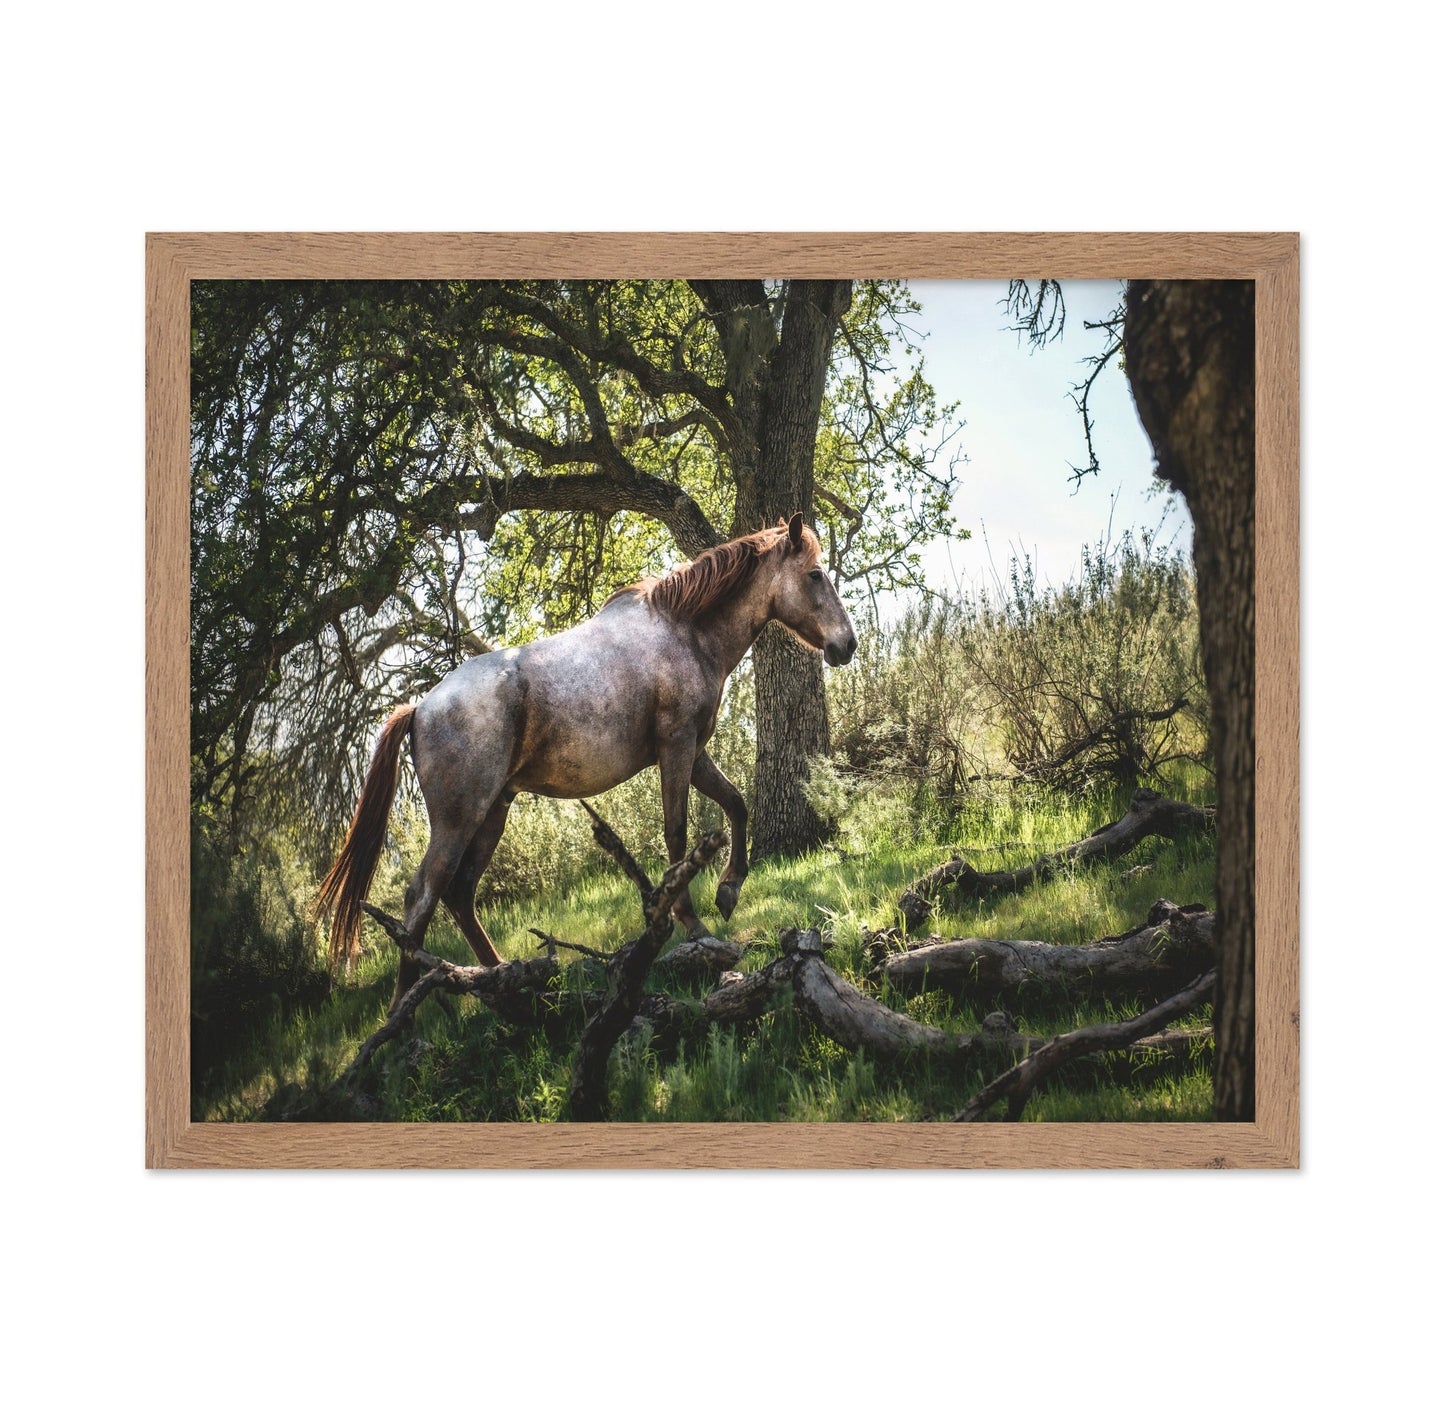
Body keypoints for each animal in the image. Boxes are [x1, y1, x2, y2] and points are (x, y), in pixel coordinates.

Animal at [317, 513, 858, 1011]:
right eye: (814, 574)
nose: (847, 644)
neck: (684, 631)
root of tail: (420, 708)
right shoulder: (677, 747)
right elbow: (677, 835)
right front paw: (693, 925)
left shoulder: (695, 751)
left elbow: (737, 805)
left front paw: (728, 890)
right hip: (458, 819)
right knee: (423, 896)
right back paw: (405, 1011)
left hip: (493, 810)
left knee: (460, 894)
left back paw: (506, 981)